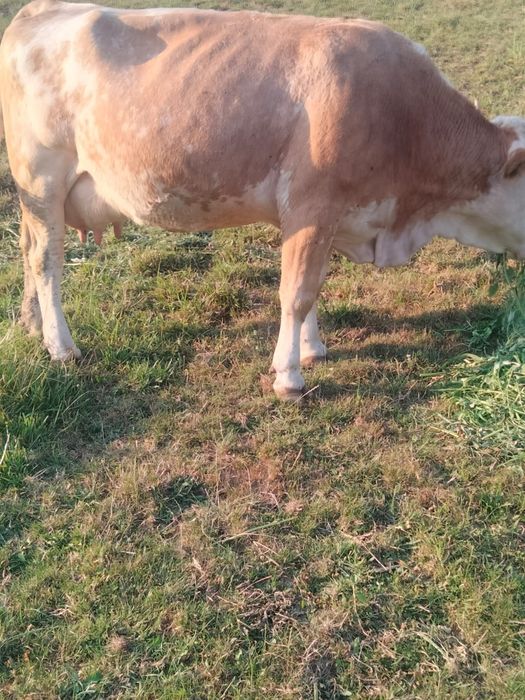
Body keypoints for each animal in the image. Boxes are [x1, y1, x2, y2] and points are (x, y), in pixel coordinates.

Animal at [1, 1, 525, 400]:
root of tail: (39, 9)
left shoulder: (320, 216)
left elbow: (313, 286)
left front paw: (312, 348)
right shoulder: (313, 205)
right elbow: (297, 293)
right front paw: (290, 376)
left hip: (36, 199)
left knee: (28, 253)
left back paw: (32, 326)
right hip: (42, 180)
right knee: (46, 261)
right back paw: (61, 346)